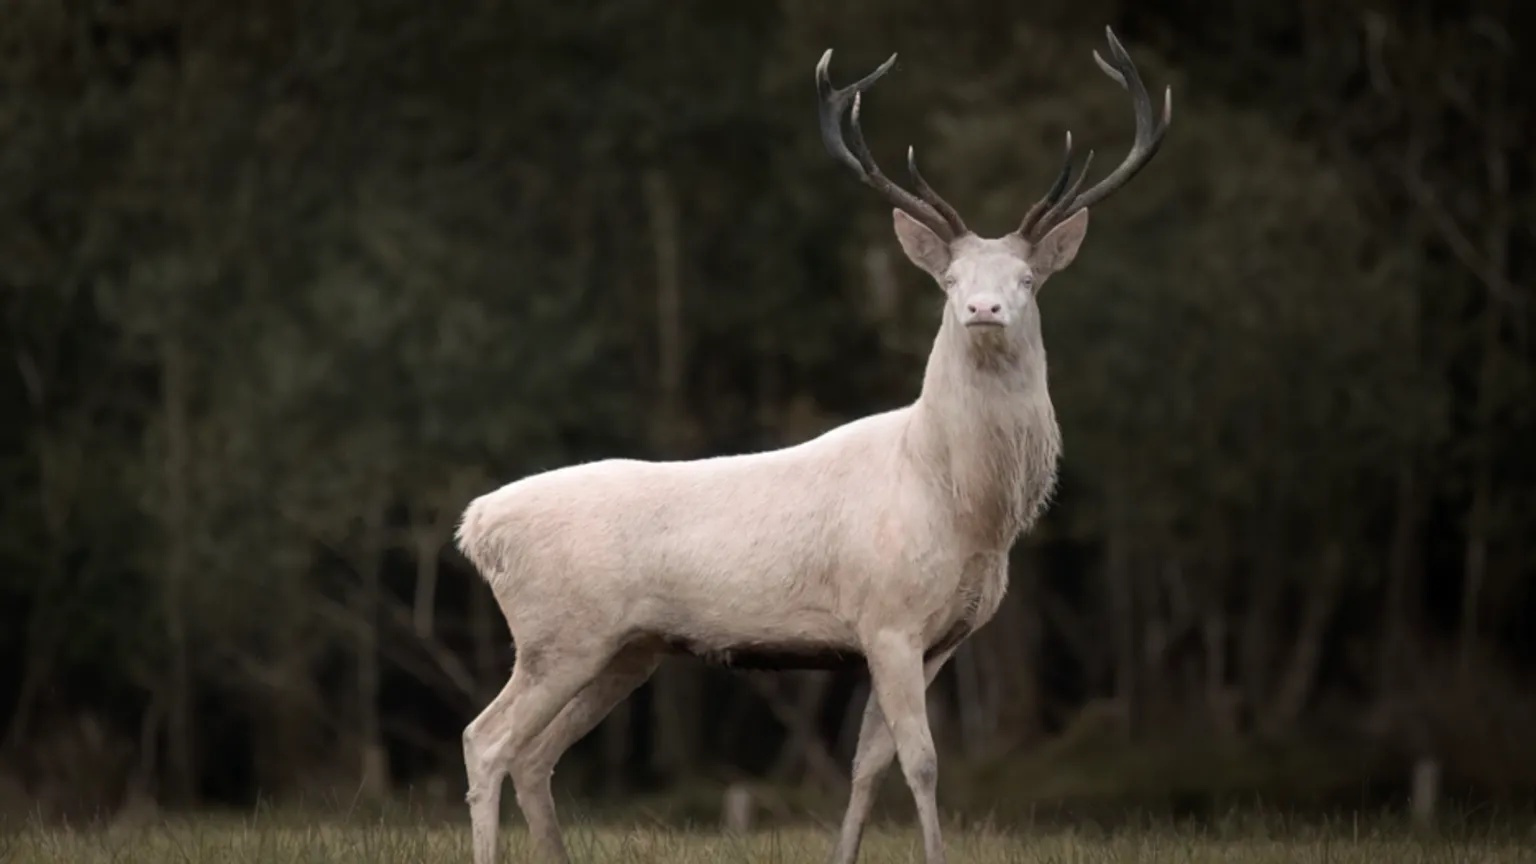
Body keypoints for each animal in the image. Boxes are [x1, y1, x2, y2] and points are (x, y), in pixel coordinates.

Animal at [454, 27, 1170, 864]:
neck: (968, 509)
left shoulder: (940, 637)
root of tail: (476, 526)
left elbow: (869, 763)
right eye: (950, 280)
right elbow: (922, 761)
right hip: (558, 632)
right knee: (487, 740)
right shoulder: (886, 616)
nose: (985, 310)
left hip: (625, 647)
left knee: (536, 755)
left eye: (1027, 280)